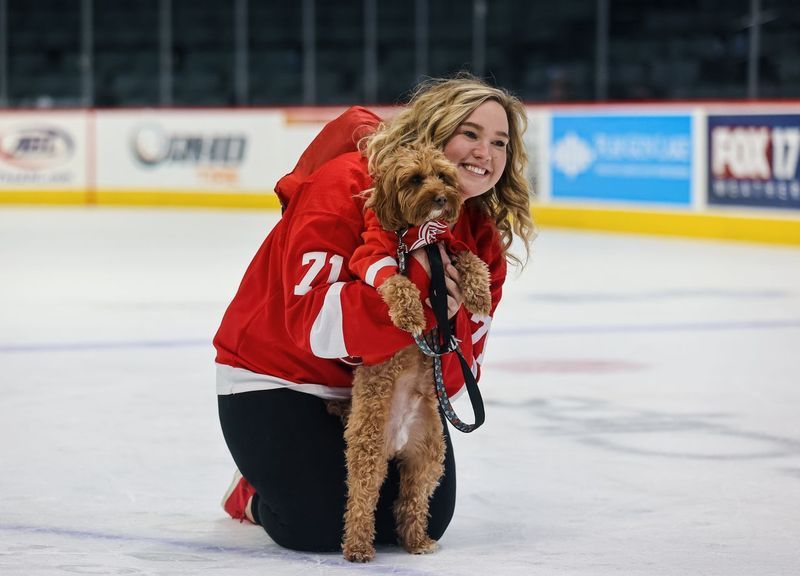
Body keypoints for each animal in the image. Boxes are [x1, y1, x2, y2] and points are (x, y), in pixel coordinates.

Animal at [340, 145, 490, 564]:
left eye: (443, 175)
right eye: (414, 179)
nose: (441, 198)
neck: (420, 238)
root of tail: (398, 440)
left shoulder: (450, 249)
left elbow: (471, 259)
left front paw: (479, 293)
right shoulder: (372, 256)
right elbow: (397, 280)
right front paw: (410, 314)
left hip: (428, 458)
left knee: (411, 502)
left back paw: (418, 540)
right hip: (368, 447)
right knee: (361, 500)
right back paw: (358, 547)